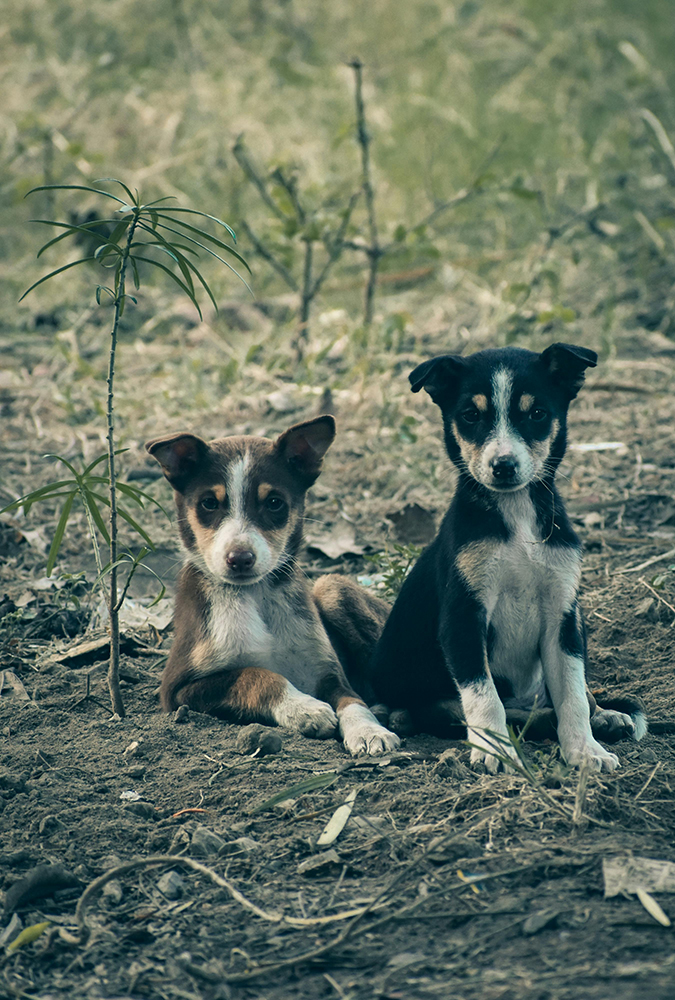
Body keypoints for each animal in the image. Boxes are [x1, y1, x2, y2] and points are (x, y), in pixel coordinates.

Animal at [370, 344, 648, 772]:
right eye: (470, 416)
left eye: (537, 414)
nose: (503, 466)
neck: (517, 518)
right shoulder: (463, 617)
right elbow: (484, 695)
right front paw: (494, 750)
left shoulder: (563, 617)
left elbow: (572, 693)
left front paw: (586, 750)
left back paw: (606, 716)